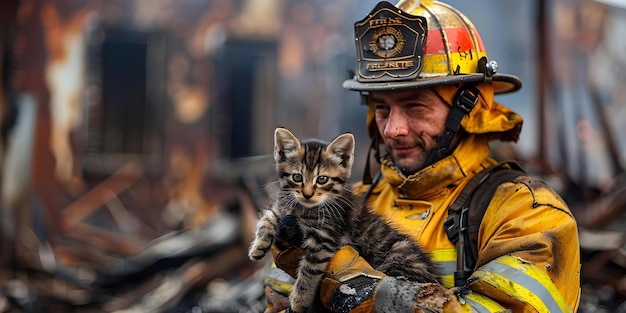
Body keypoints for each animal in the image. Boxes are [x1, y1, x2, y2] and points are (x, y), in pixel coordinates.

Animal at [246, 127, 436, 312]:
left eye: (322, 179)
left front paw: (300, 299)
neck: (303, 207)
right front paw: (258, 247)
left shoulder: (324, 236)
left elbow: (310, 269)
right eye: (297, 177)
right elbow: (267, 217)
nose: (307, 194)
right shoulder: (281, 207)